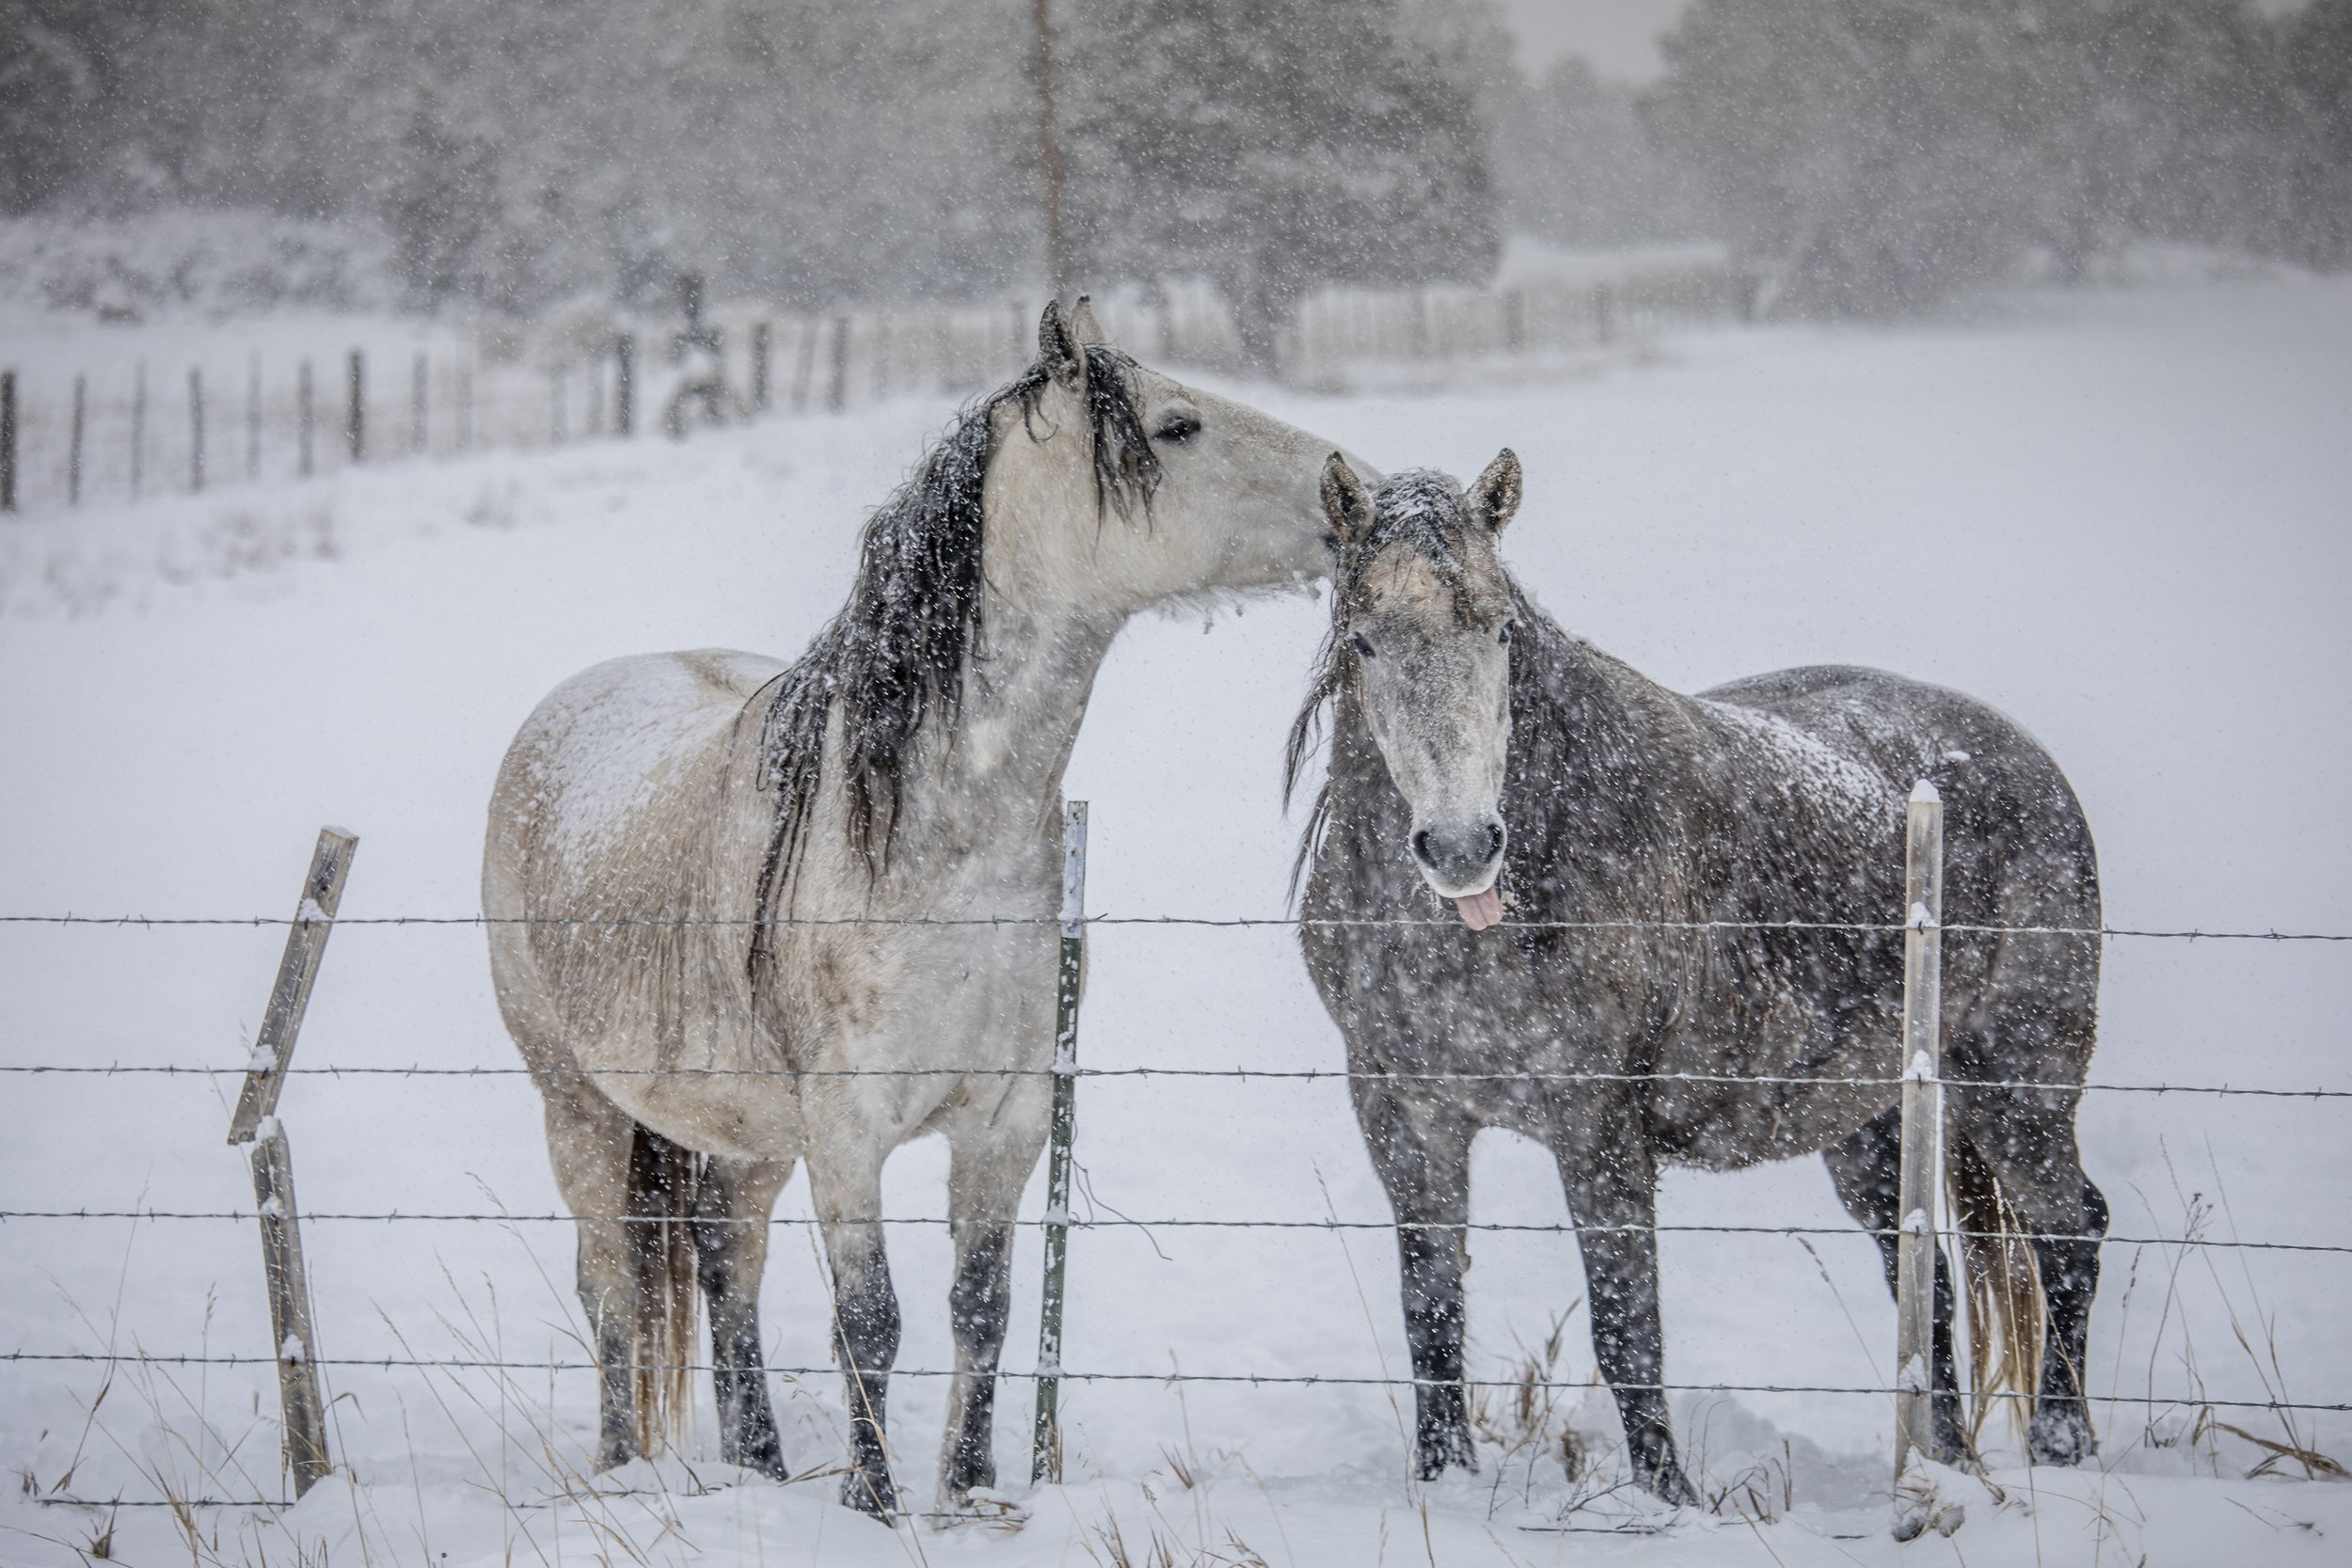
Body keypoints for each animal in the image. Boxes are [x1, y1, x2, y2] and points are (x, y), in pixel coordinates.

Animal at [483, 300, 1352, 1520]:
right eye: (1176, 425)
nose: (1354, 487)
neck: (929, 844)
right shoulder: (851, 1136)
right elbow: (871, 1319)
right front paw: (873, 1502)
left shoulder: (1006, 1124)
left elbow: (981, 1309)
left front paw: (971, 1491)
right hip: (579, 1104)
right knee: (611, 1281)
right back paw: (623, 1470)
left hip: (745, 1134)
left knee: (724, 1260)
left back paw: (757, 1465)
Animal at [1286, 451, 2109, 1503]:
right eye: (1365, 640)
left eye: (1501, 629)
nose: (1463, 847)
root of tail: (2027, 759)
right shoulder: (1404, 1113)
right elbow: (1430, 1314)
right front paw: (1445, 1483)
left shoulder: (1597, 1125)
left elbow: (1627, 1322)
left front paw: (1665, 1501)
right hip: (1873, 1118)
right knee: (1920, 1273)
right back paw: (1943, 1465)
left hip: (2017, 1079)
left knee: (2068, 1230)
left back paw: (2061, 1444)